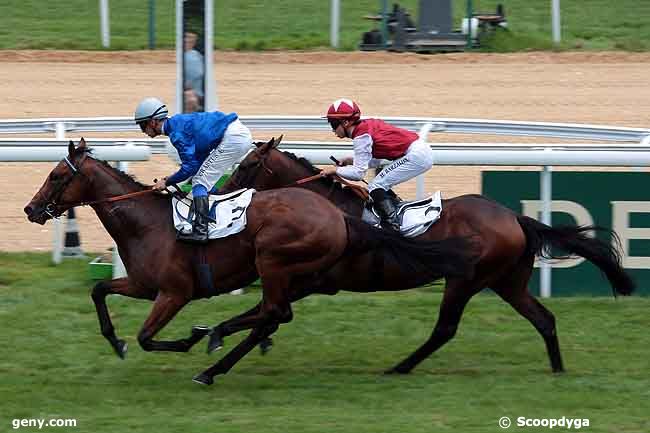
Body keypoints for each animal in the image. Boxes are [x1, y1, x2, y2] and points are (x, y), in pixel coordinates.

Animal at [25, 138, 474, 384]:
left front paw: (192, 337)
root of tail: (338, 217)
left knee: (275, 311)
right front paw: (115, 340)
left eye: (56, 176)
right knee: (274, 312)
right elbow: (100, 290)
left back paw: (215, 353)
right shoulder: (142, 285)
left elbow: (147, 337)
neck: (146, 224)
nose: (30, 209)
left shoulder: (174, 292)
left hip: (274, 260)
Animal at [218, 136, 632, 374]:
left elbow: (264, 311)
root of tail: (514, 217)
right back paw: (558, 371)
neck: (333, 210)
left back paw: (400, 368)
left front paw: (218, 337)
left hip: (467, 279)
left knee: (445, 329)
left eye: (248, 165)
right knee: (543, 319)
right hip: (507, 281)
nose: (223, 190)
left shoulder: (314, 280)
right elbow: (264, 310)